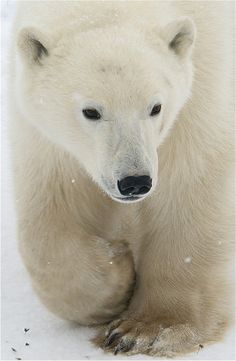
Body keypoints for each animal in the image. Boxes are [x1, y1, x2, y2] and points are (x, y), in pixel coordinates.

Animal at [8, 0, 234, 358]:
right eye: (91, 111)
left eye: (155, 107)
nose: (134, 182)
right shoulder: (47, 140)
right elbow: (51, 216)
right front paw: (118, 280)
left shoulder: (202, 90)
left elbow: (190, 187)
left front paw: (147, 329)